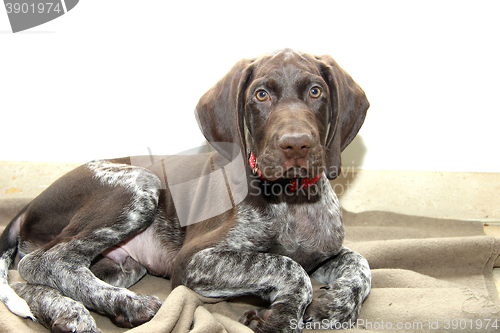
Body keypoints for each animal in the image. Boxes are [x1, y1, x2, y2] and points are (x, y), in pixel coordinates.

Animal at [0, 50, 372, 332]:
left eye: (316, 91)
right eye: (261, 95)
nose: (296, 144)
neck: (292, 201)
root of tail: (29, 206)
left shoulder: (323, 254)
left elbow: (360, 265)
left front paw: (332, 307)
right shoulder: (195, 260)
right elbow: (288, 267)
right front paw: (280, 318)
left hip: (125, 266)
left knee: (26, 280)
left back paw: (68, 312)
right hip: (140, 185)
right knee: (40, 261)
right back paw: (119, 305)